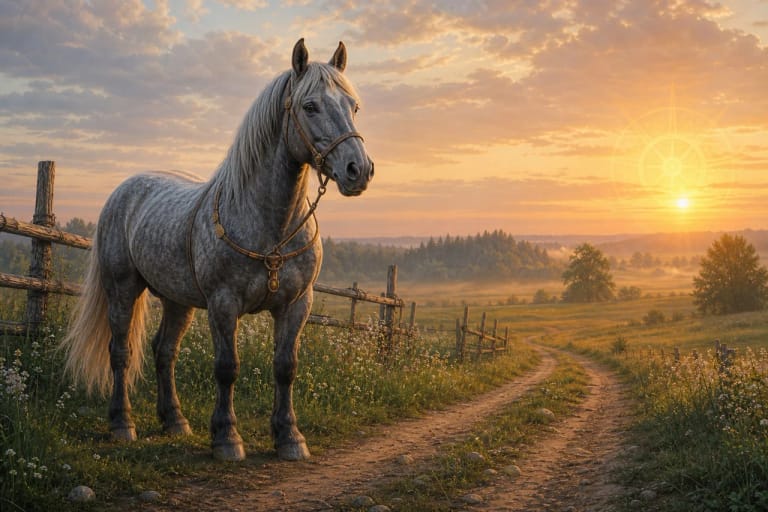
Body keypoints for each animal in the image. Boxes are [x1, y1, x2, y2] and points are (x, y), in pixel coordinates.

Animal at [61, 39, 374, 461]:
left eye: (353, 106)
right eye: (310, 106)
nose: (359, 170)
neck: (270, 225)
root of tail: (124, 190)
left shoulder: (296, 304)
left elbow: (285, 367)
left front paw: (289, 437)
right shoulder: (224, 304)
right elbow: (227, 368)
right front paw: (227, 437)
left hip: (178, 301)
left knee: (164, 351)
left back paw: (174, 421)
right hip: (122, 289)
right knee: (120, 352)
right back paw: (122, 424)